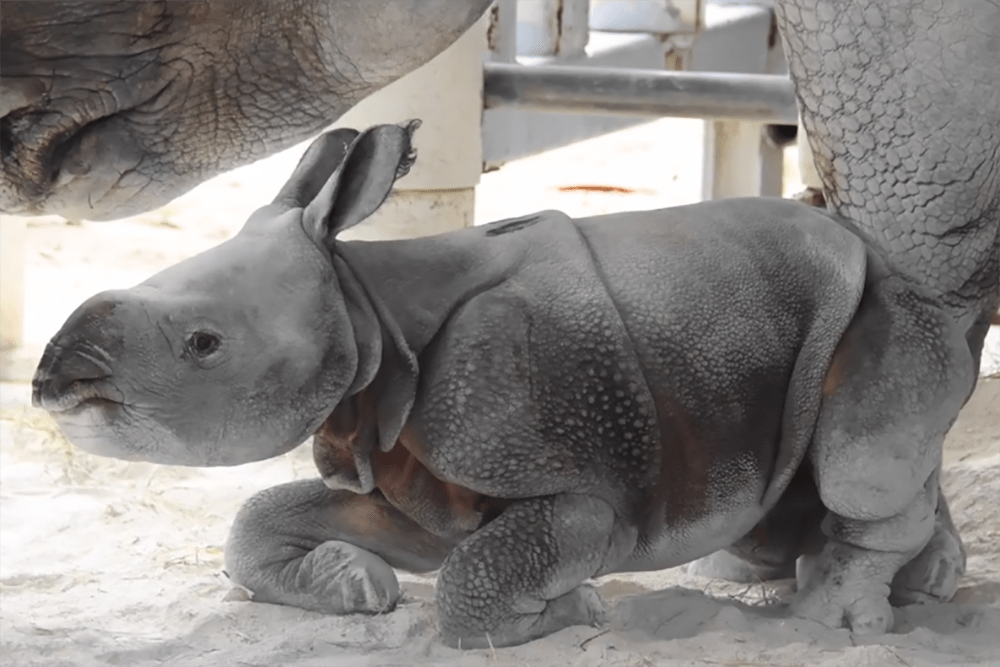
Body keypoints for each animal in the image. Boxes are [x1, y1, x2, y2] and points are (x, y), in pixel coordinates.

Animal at [32, 121, 978, 648]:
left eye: (203, 342)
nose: (50, 380)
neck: (367, 307)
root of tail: (874, 247)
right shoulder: (406, 467)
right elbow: (259, 523)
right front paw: (357, 587)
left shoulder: (575, 481)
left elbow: (471, 584)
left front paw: (575, 610)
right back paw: (891, 583)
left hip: (880, 300)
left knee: (860, 463)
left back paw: (832, 618)